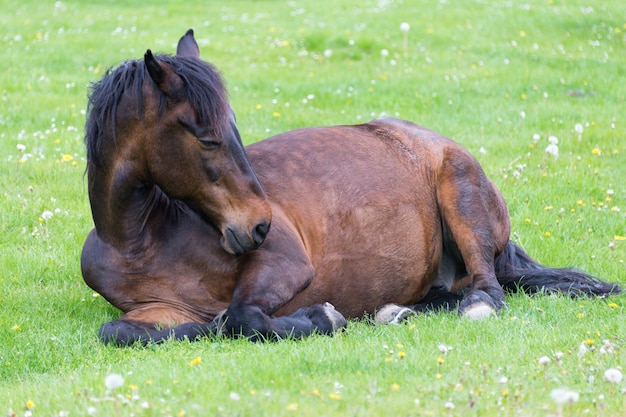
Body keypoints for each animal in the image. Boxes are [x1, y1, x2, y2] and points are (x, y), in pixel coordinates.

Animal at [80, 30, 616, 344]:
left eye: (233, 131)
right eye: (208, 138)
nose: (258, 226)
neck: (143, 241)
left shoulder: (284, 264)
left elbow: (241, 317)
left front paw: (322, 318)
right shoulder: (157, 310)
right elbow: (119, 331)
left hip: (462, 200)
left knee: (488, 290)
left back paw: (466, 307)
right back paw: (392, 312)